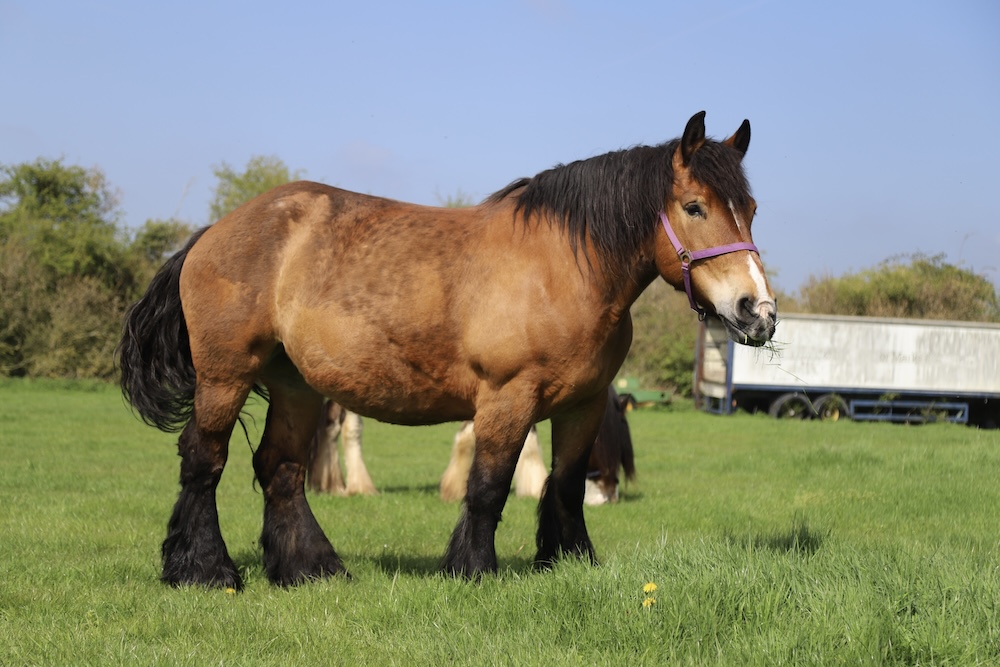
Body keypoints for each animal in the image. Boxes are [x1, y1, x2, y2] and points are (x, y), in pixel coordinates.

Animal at [309, 386, 634, 504]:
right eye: (614, 457)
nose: (611, 497)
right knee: (347, 428)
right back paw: (357, 485)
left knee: (329, 425)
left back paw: (330, 483)